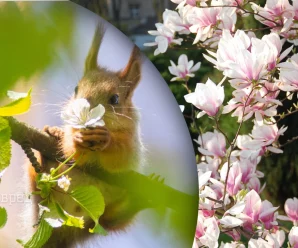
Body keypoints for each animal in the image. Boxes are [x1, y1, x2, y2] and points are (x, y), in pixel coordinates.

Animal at [27, 23, 144, 248]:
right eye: (76, 89)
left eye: (115, 99)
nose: (82, 112)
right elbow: (71, 150)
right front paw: (73, 139)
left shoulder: (132, 140)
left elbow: (122, 157)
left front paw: (107, 140)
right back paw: (45, 151)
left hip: (106, 217)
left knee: (112, 220)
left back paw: (137, 201)